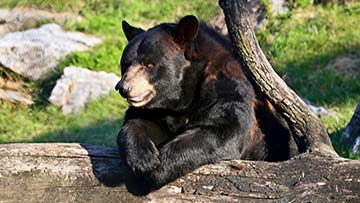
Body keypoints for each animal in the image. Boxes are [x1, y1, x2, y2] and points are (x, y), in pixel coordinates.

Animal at [115, 15, 298, 190]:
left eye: (149, 64)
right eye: (125, 64)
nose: (123, 87)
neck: (183, 96)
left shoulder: (228, 89)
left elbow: (224, 131)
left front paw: (158, 170)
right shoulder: (159, 110)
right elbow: (138, 122)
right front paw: (143, 160)